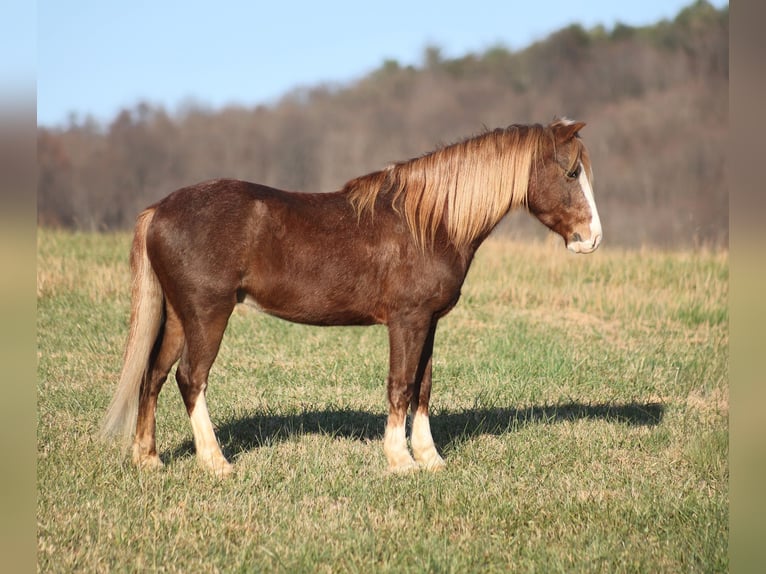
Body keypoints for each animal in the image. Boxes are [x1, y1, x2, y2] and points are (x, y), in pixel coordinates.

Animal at [100, 118, 602, 477]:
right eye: (572, 171)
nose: (591, 238)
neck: (430, 221)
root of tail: (159, 209)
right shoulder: (406, 320)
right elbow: (400, 386)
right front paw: (400, 461)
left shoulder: (430, 321)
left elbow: (423, 386)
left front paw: (430, 458)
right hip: (208, 314)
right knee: (191, 378)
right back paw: (216, 462)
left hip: (178, 315)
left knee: (153, 375)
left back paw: (149, 458)